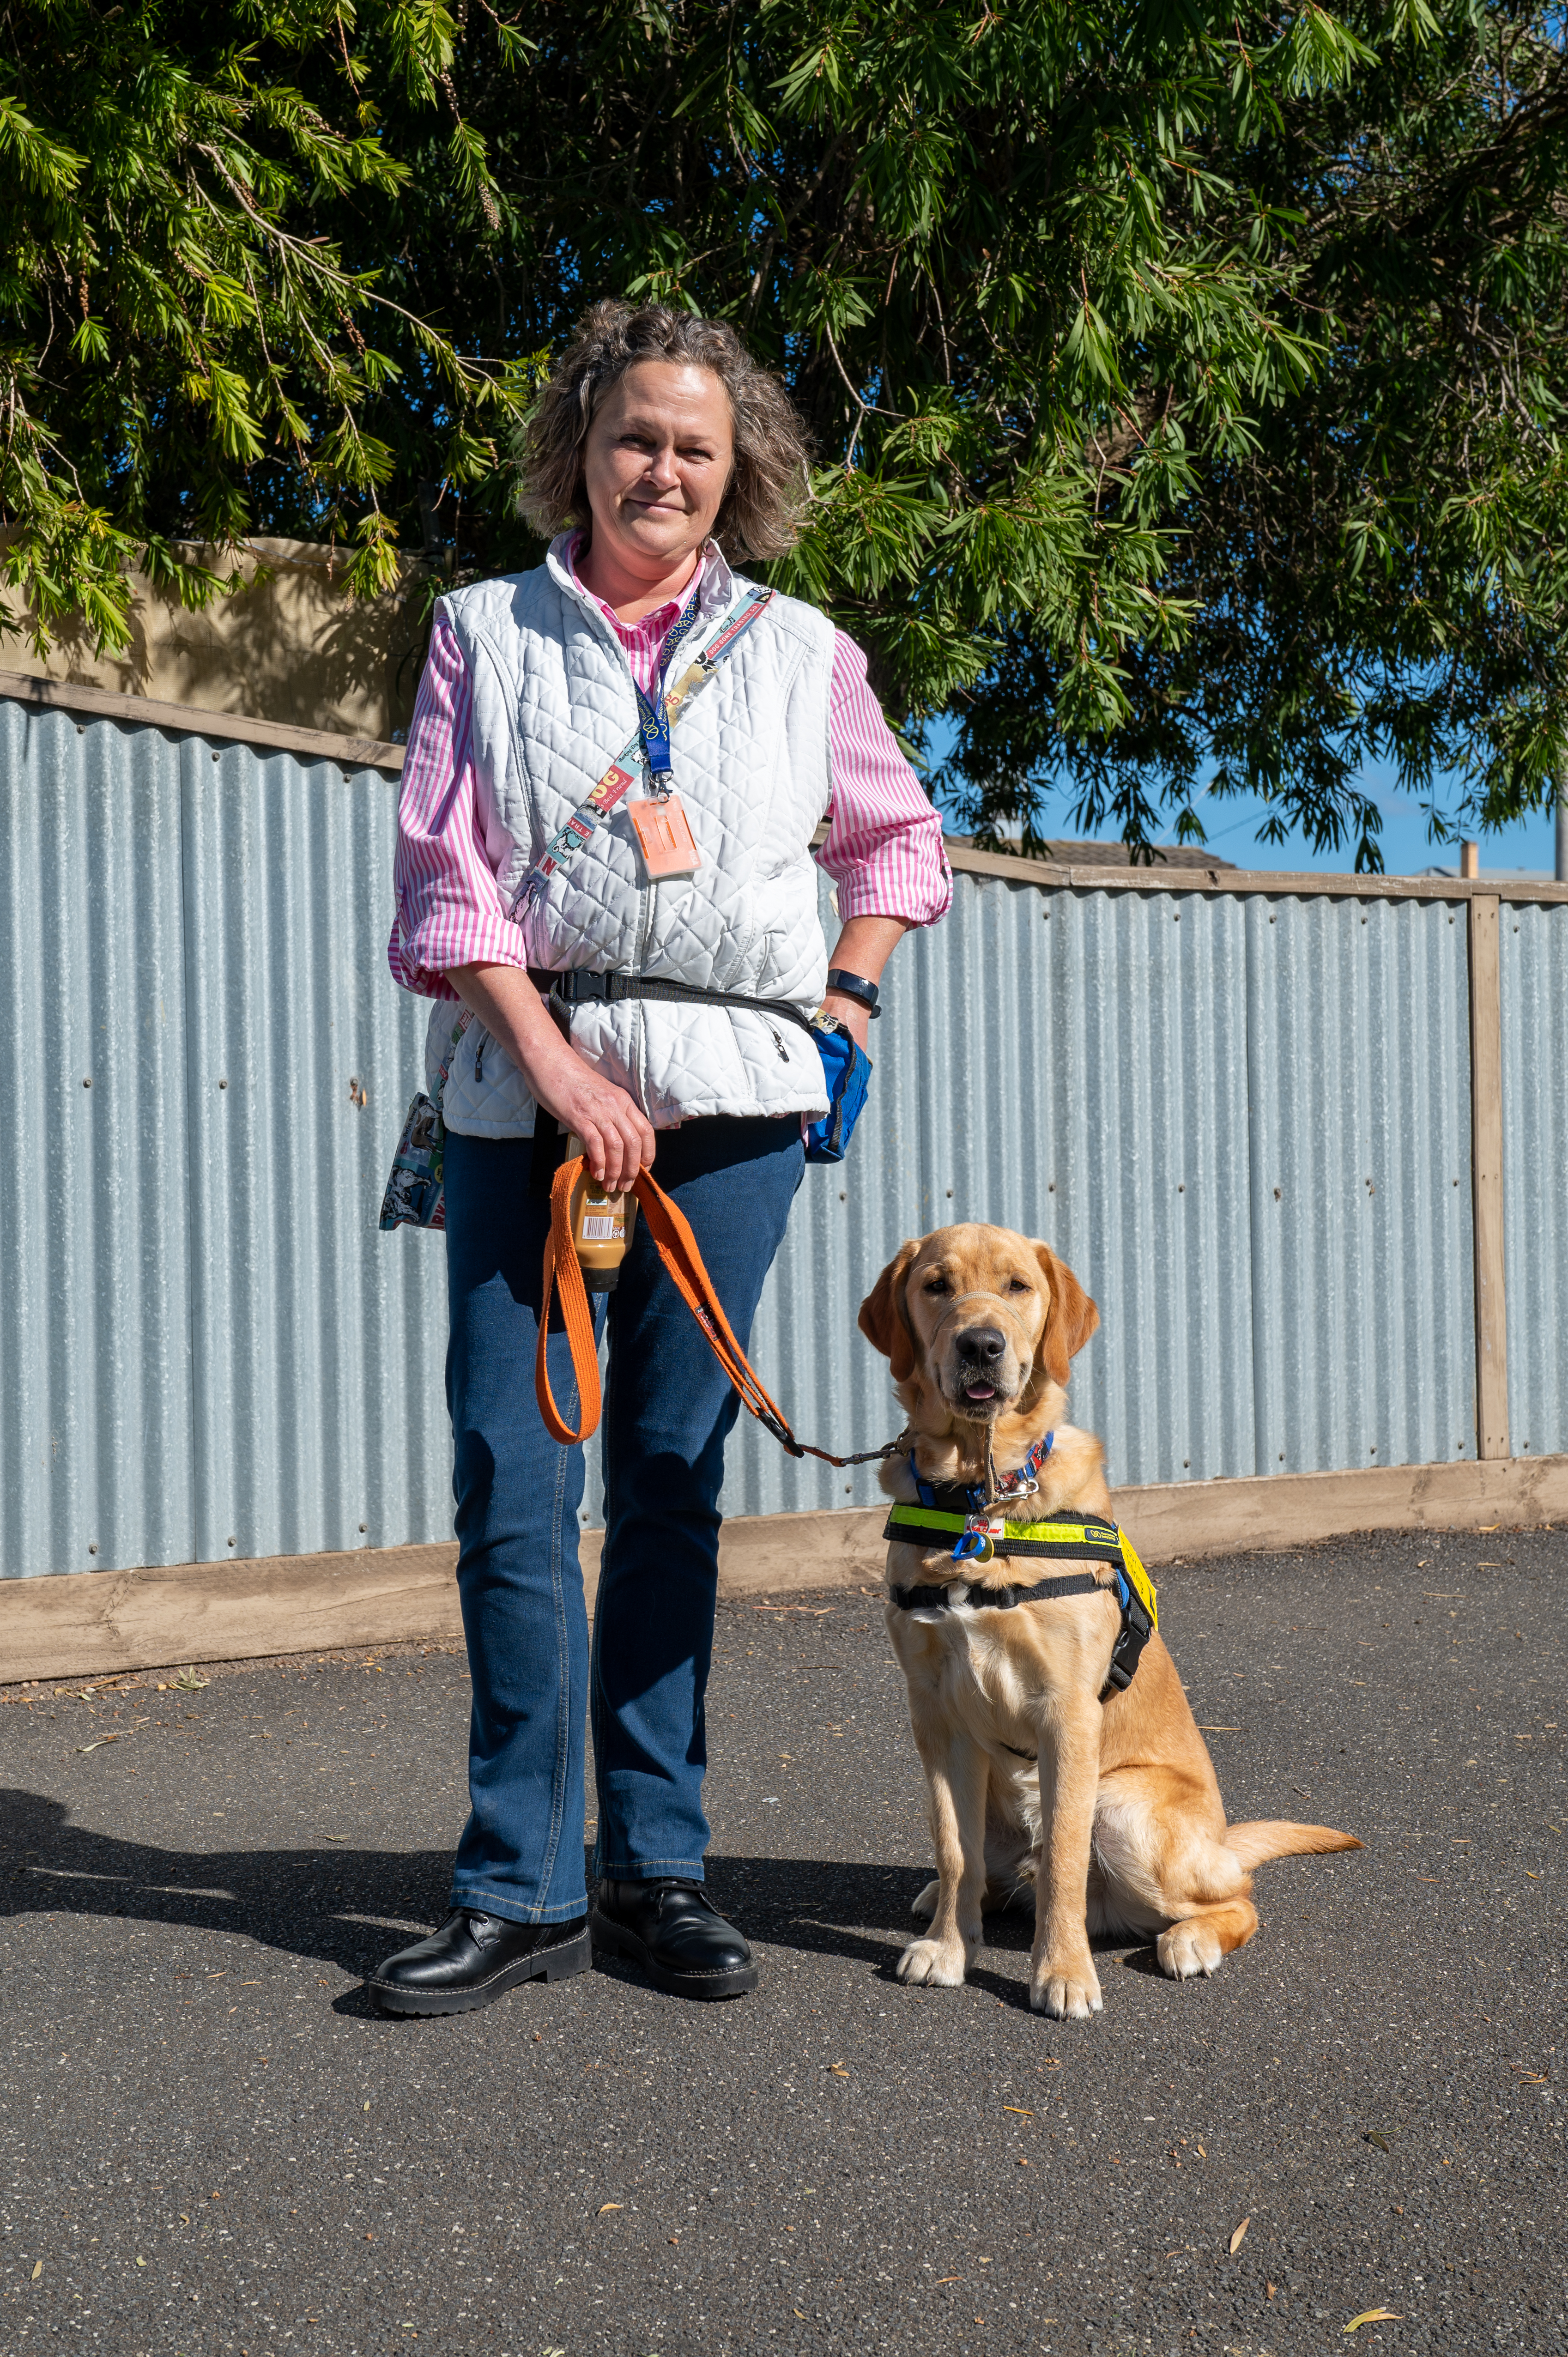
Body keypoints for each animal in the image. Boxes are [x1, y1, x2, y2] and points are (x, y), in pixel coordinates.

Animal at [858, 1225, 1358, 2018]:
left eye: (1017, 1286)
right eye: (935, 1285)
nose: (980, 1345)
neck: (980, 1498)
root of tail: (1222, 1839)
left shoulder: (1066, 1712)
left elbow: (1064, 1857)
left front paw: (1062, 1972)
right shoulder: (934, 1715)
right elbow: (951, 1842)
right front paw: (946, 1949)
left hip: (1123, 1805)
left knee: (1234, 1898)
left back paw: (1189, 1939)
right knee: (988, 1875)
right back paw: (951, 1906)